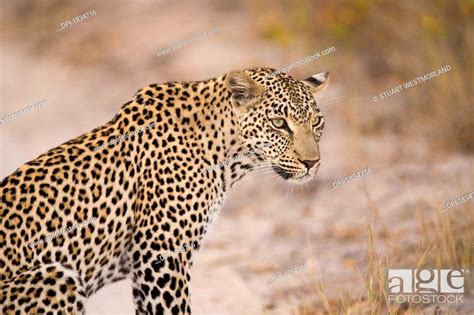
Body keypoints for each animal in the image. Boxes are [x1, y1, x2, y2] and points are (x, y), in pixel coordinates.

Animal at [0, 68, 330, 314]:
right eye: (279, 123)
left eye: (316, 122)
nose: (312, 163)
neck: (227, 155)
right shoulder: (159, 257)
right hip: (55, 276)